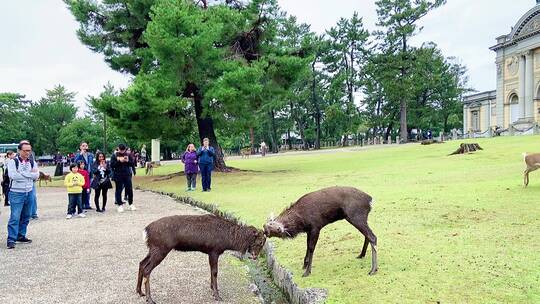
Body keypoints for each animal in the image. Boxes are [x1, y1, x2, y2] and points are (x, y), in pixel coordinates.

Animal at [137, 214, 266, 302]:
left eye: (263, 242)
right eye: (259, 242)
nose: (255, 256)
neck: (228, 241)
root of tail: (146, 231)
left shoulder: (210, 252)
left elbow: (211, 270)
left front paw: (213, 290)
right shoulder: (214, 250)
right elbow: (215, 271)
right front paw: (217, 295)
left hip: (153, 249)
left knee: (141, 263)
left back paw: (139, 292)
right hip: (161, 249)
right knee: (147, 269)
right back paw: (149, 299)